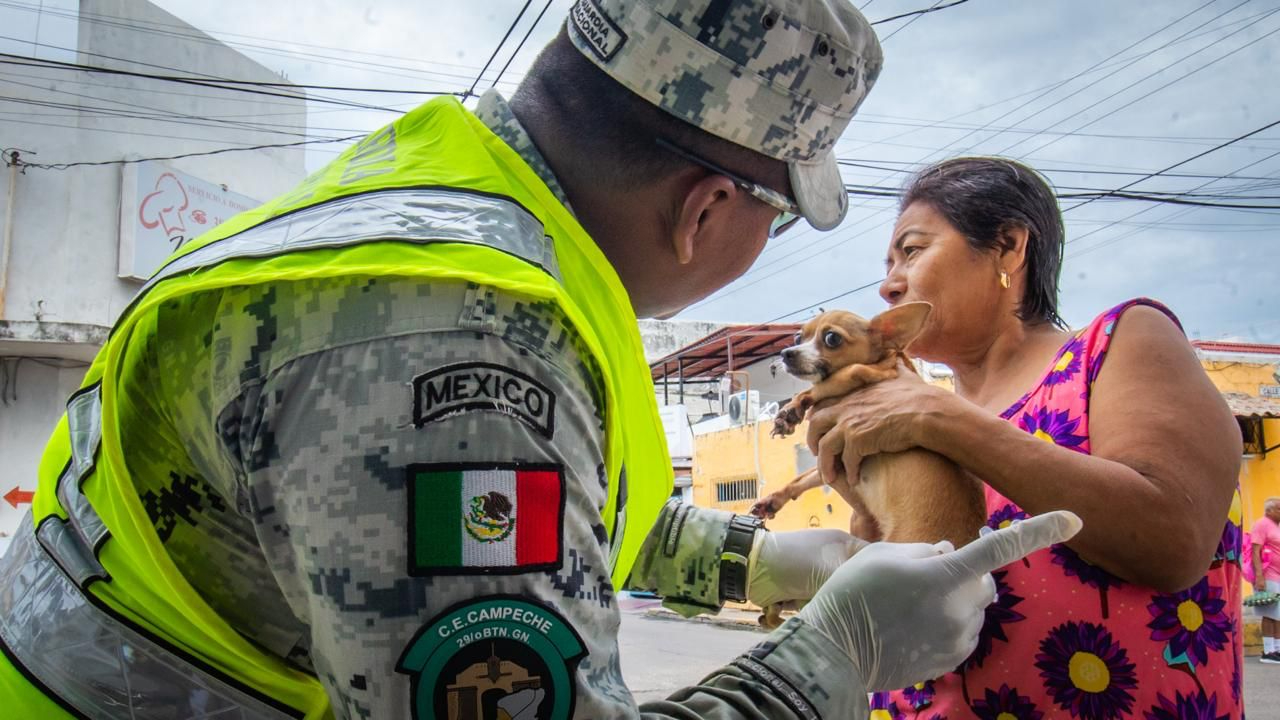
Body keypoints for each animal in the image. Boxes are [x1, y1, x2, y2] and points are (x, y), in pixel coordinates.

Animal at [752, 302, 983, 622]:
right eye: (799, 337)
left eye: (832, 339)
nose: (787, 352)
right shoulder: (830, 457)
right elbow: (802, 478)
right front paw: (772, 501)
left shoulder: (859, 375)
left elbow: (818, 387)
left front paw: (791, 410)